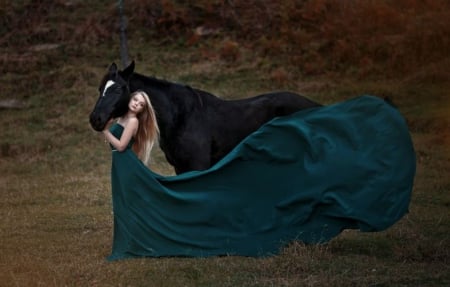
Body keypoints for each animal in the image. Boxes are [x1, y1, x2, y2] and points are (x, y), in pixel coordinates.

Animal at [89, 61, 322, 174]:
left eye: (119, 89)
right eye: (100, 89)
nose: (95, 119)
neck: (181, 117)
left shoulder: (197, 165)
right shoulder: (180, 167)